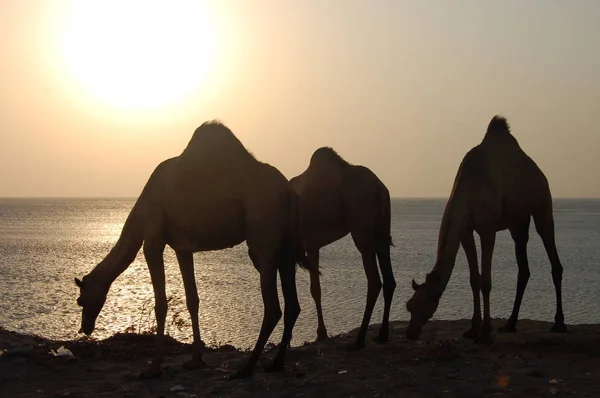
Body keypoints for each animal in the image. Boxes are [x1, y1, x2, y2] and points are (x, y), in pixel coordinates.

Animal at [72, 119, 316, 378]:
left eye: (81, 300)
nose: (85, 328)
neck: (141, 211)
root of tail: (290, 193)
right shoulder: (182, 248)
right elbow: (193, 299)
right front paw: (195, 360)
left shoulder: (153, 240)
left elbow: (161, 303)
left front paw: (153, 368)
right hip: (287, 244)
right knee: (292, 304)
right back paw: (275, 363)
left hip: (263, 235)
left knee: (272, 307)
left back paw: (246, 369)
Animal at [290, 147, 396, 348]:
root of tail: (380, 189)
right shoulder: (312, 246)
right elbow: (315, 289)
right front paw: (321, 333)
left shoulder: (304, 245)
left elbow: (310, 289)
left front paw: (319, 333)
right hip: (382, 232)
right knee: (389, 279)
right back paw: (382, 334)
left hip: (362, 229)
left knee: (374, 281)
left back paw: (359, 340)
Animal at [404, 114, 568, 342]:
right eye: (409, 306)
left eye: (425, 308)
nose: (410, 333)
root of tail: (539, 173)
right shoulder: (465, 230)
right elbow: (474, 279)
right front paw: (472, 328)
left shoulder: (487, 229)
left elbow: (486, 282)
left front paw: (485, 331)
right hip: (517, 222)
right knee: (523, 268)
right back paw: (510, 324)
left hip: (542, 204)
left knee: (553, 256)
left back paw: (559, 323)